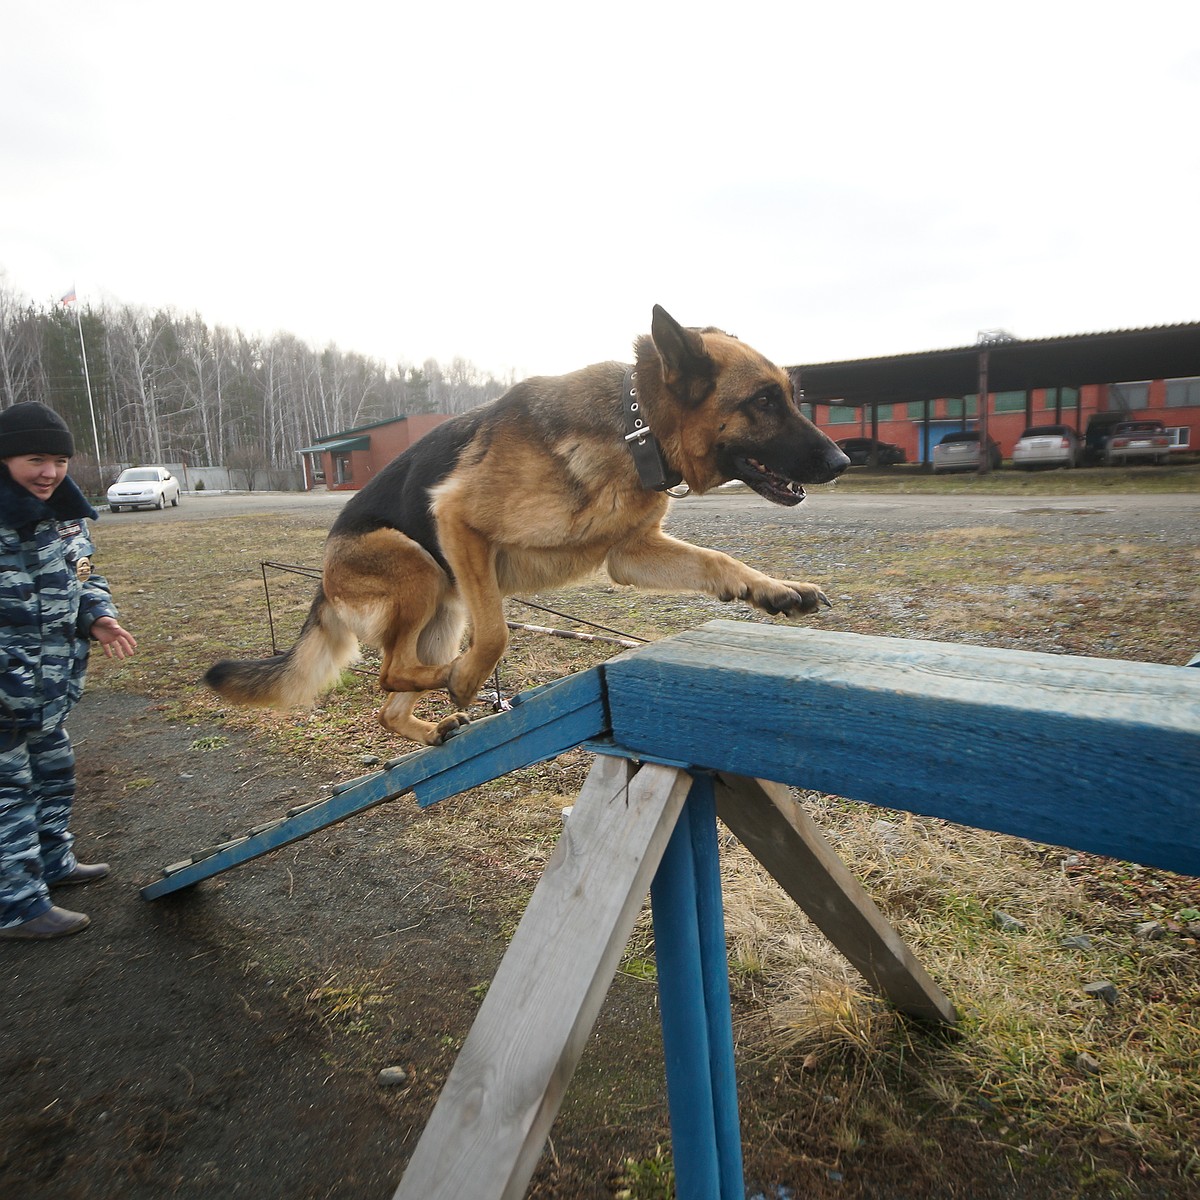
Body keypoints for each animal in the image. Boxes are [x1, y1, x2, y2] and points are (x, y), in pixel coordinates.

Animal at [206, 307, 849, 739]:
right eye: (763, 401)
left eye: (791, 396)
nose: (843, 462)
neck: (633, 431)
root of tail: (324, 576)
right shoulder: (457, 520)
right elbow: (498, 634)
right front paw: (469, 679)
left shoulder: (631, 554)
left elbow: (718, 560)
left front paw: (774, 589)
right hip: (419, 564)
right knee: (391, 670)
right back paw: (450, 676)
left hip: (445, 605)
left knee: (388, 697)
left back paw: (428, 724)